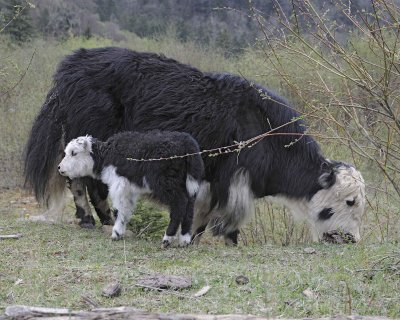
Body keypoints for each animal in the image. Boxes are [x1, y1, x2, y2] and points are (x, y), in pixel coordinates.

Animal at [57, 131, 203, 246]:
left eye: (74, 153)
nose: (59, 168)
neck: (106, 156)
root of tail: (187, 143)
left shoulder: (119, 184)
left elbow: (118, 209)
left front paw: (116, 233)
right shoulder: (129, 189)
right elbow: (127, 209)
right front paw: (120, 232)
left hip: (167, 183)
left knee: (180, 204)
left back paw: (167, 239)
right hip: (188, 182)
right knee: (190, 206)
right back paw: (184, 240)